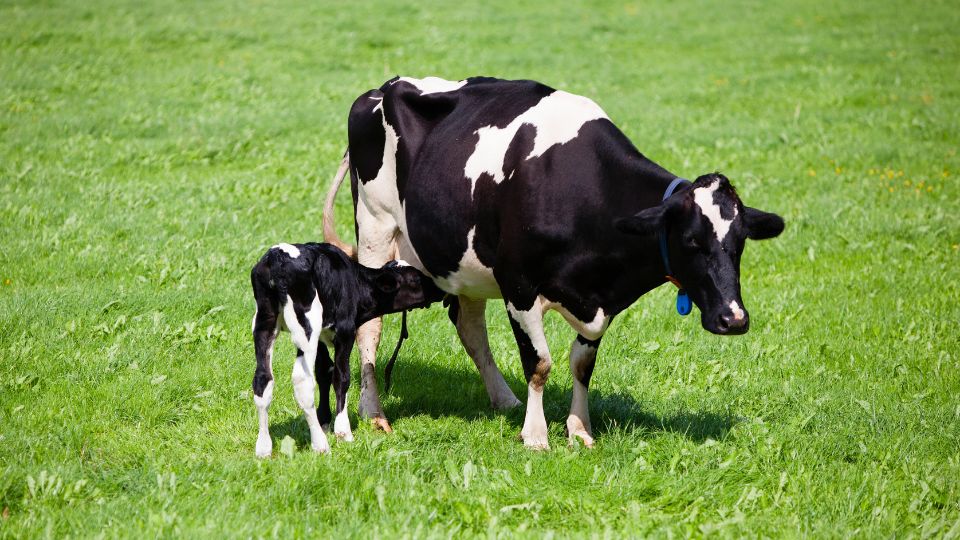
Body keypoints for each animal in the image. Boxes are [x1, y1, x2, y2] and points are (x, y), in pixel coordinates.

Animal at [250, 242, 443, 457]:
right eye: (415, 279)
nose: (440, 288)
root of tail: (277, 255)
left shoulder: (322, 337)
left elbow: (324, 373)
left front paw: (324, 421)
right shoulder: (345, 331)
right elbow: (341, 377)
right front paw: (342, 431)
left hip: (264, 322)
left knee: (262, 379)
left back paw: (263, 448)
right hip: (306, 325)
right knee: (302, 381)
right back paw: (320, 444)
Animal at [322, 76, 784, 449]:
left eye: (740, 243)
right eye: (691, 242)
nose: (734, 318)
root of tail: (382, 87)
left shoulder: (600, 298)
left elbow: (581, 364)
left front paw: (578, 429)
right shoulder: (518, 283)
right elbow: (540, 363)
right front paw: (536, 435)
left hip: (463, 258)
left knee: (469, 325)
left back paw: (503, 399)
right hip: (376, 229)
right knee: (371, 328)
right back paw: (374, 412)